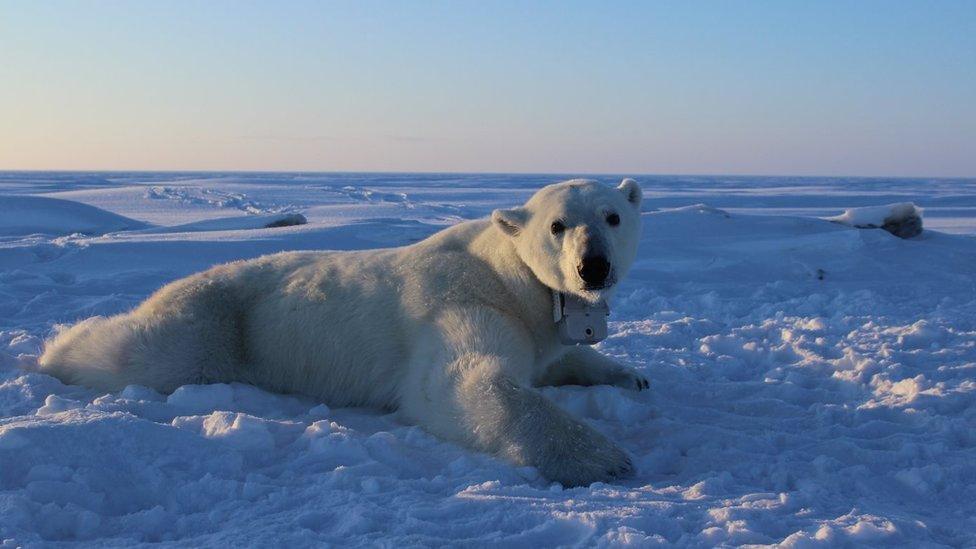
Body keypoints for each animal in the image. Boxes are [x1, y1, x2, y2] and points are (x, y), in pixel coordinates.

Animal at [40, 178, 648, 482]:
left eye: (613, 216)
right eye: (557, 224)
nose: (593, 267)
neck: (507, 276)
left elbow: (558, 358)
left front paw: (630, 376)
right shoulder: (462, 303)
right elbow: (460, 382)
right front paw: (605, 458)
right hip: (213, 325)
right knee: (139, 351)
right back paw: (50, 352)